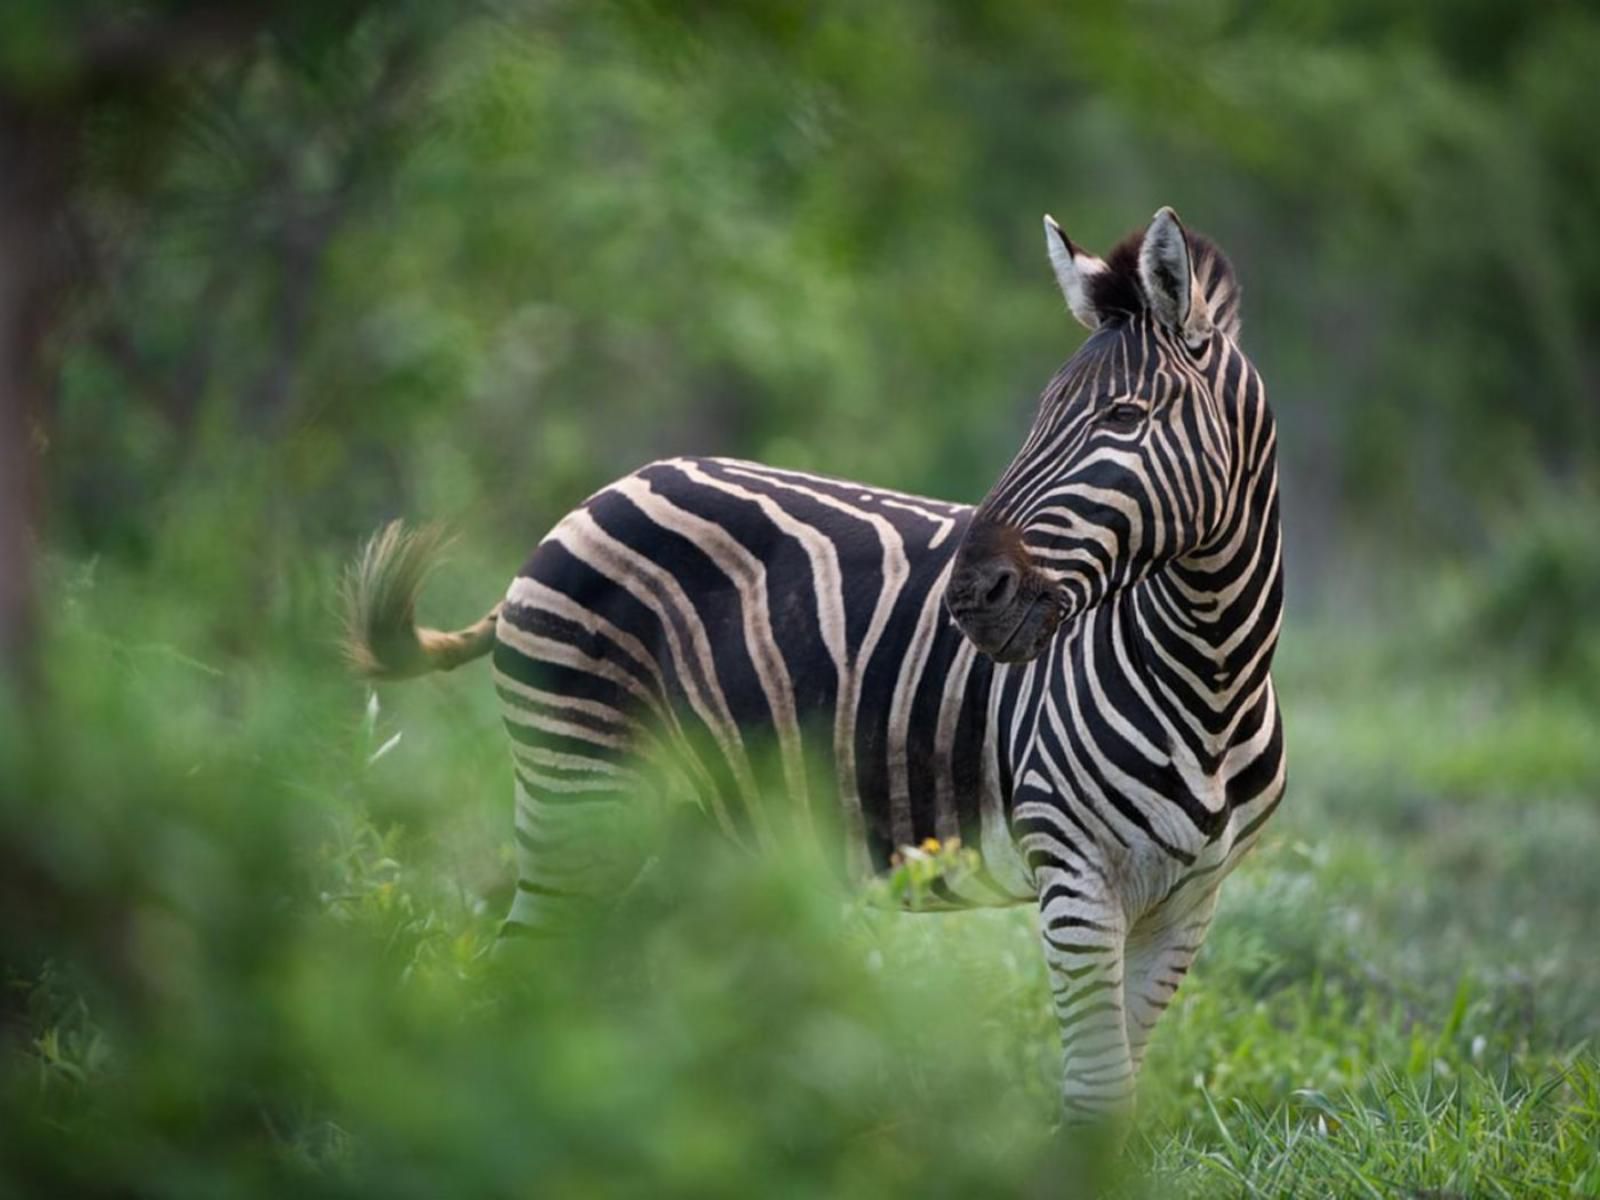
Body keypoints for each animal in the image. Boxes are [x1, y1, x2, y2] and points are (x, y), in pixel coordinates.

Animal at [344, 209, 1280, 1126]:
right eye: (1042, 414)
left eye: (1123, 417)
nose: (970, 596)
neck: (1212, 674)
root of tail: (595, 498)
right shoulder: (1075, 874)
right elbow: (1098, 1096)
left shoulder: (1188, 902)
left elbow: (1120, 1086)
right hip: (578, 791)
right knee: (522, 977)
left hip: (681, 826)